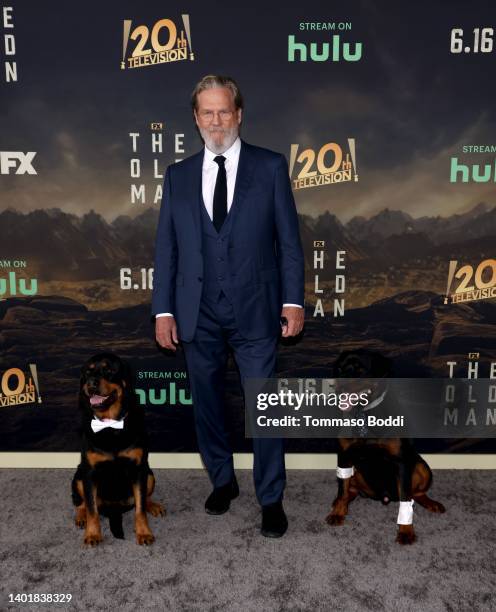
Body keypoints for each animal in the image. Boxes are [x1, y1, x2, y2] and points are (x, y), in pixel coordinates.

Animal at [70, 352, 166, 548]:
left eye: (109, 370)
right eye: (87, 372)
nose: (91, 382)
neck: (110, 426)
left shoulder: (138, 469)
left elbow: (140, 508)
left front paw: (144, 532)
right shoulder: (89, 473)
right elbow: (92, 508)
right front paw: (92, 533)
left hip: (149, 473)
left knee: (144, 498)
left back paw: (153, 505)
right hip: (78, 476)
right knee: (82, 503)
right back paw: (81, 516)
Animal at [326, 350, 446, 544]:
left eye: (360, 370)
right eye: (339, 369)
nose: (339, 390)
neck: (365, 413)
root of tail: (385, 497)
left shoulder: (401, 462)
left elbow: (405, 499)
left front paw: (405, 531)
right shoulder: (344, 455)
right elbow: (342, 488)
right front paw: (338, 512)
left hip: (421, 466)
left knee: (416, 493)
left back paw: (431, 503)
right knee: (351, 488)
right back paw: (339, 502)